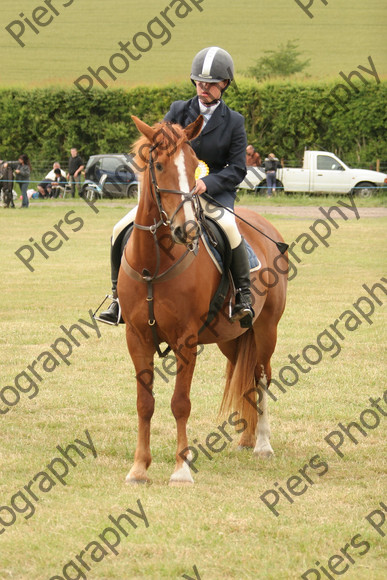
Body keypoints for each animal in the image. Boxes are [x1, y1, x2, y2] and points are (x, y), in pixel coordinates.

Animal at [118, 114, 288, 484]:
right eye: (159, 164)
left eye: (195, 165)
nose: (189, 230)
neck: (155, 263)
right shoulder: (136, 337)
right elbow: (144, 403)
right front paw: (139, 468)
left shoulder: (186, 340)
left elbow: (180, 402)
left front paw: (181, 470)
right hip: (232, 338)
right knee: (246, 380)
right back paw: (247, 439)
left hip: (266, 330)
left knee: (261, 377)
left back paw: (263, 444)